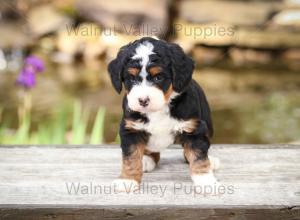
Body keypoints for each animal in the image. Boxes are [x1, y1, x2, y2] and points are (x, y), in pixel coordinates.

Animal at [108, 37, 218, 192]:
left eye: (158, 77)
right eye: (131, 78)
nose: (143, 100)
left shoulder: (194, 129)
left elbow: (198, 156)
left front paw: (205, 181)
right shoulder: (131, 129)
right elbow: (131, 157)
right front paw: (127, 180)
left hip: (207, 123)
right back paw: (146, 159)